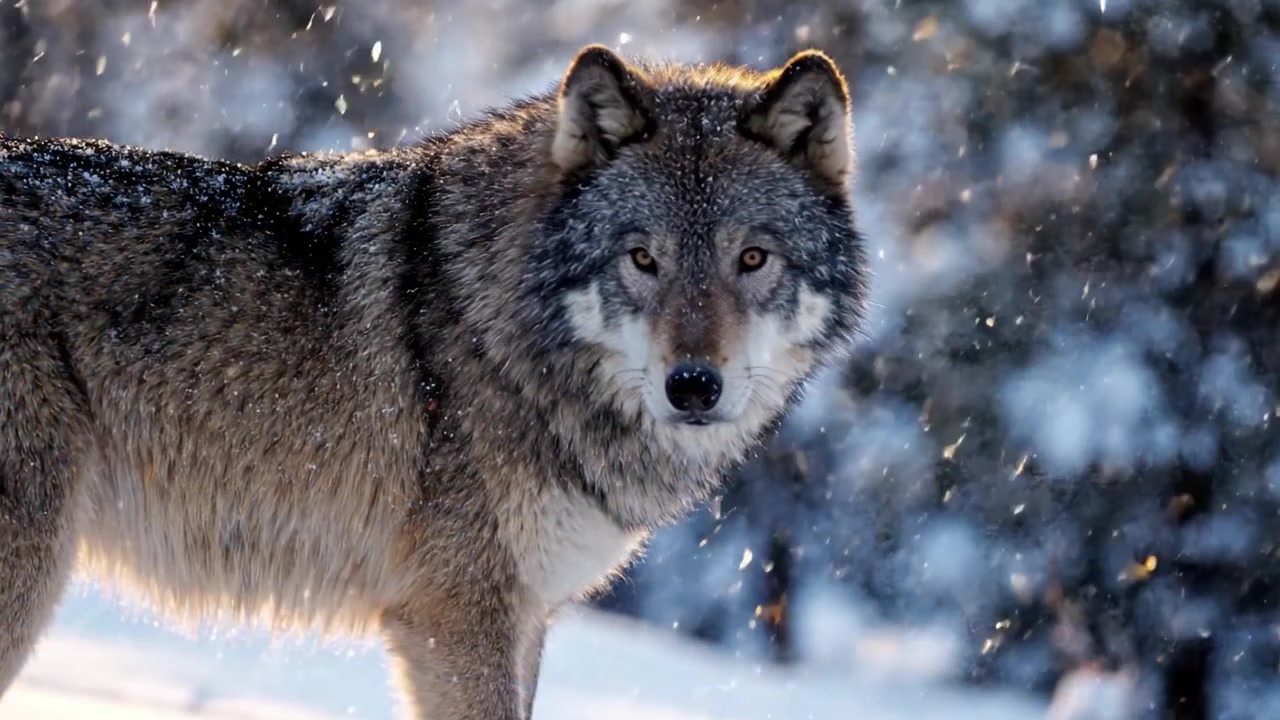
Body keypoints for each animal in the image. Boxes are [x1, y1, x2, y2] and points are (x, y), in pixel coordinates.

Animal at [0, 43, 867, 718]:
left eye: (751, 258)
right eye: (642, 258)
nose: (693, 386)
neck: (502, 326)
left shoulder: (522, 618)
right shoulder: (455, 619)